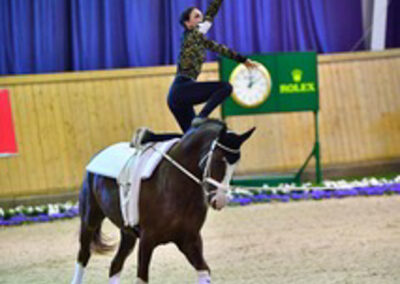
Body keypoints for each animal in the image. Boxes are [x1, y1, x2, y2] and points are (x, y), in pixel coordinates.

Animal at [70, 118, 255, 282]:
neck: (176, 185)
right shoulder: (147, 240)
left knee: (115, 265)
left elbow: (204, 271)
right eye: (218, 159)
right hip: (89, 221)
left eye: (235, 165)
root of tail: (97, 155)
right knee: (83, 257)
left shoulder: (190, 240)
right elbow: (142, 278)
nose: (220, 200)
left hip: (128, 233)